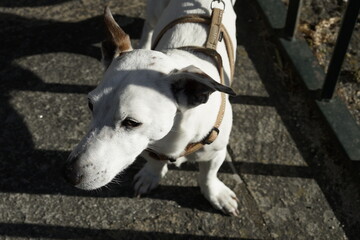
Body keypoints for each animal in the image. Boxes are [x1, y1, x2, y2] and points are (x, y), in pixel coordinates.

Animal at [64, 0, 239, 216]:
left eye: (132, 122)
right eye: (90, 105)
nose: (69, 174)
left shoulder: (215, 152)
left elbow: (208, 175)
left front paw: (215, 194)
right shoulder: (148, 144)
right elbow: (155, 162)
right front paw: (151, 176)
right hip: (155, 10)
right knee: (148, 26)